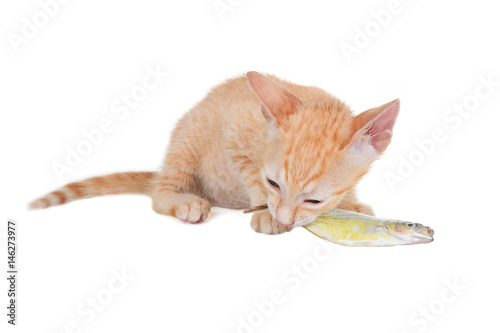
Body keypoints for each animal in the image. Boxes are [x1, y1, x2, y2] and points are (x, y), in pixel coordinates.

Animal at [30, 71, 398, 235]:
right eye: (273, 183)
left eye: (314, 200)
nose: (283, 219)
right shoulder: (233, 130)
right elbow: (249, 174)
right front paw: (266, 213)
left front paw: (352, 204)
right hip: (187, 138)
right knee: (159, 192)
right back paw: (183, 201)